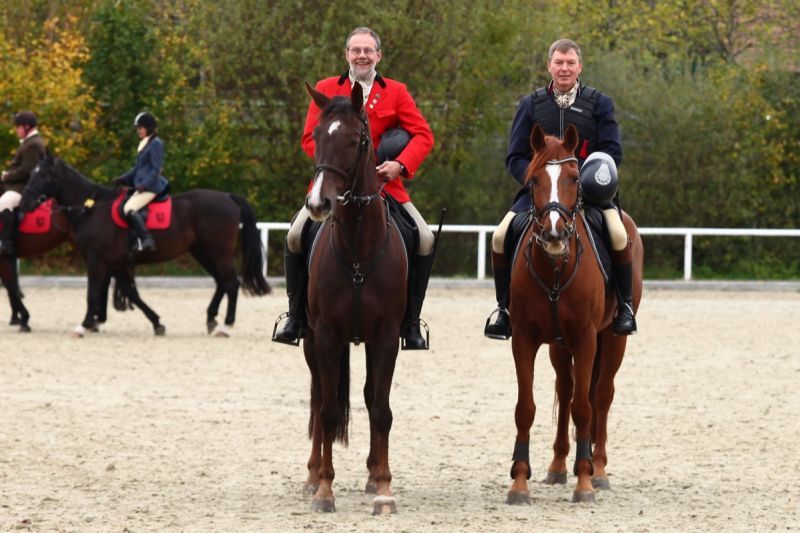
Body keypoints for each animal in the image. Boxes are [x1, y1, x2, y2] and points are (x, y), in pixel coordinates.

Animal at [19, 155, 270, 337]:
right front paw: (157, 323)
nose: (24, 204)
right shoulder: (116, 262)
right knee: (221, 282)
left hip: (218, 252)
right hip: (202, 252)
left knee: (231, 282)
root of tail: (227, 197)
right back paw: (211, 319)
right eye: (31, 174)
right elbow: (132, 292)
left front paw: (84, 325)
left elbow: (93, 293)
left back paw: (225, 326)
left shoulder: (97, 260)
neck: (91, 208)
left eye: (45, 175)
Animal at [506, 124, 643, 504]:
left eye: (573, 178)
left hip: (611, 339)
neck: (555, 266)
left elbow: (585, 407)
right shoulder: (524, 338)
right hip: (558, 344)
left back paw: (599, 469)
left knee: (602, 394)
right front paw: (519, 482)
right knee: (566, 389)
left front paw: (585, 482)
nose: (554, 233)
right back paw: (557, 466)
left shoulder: (585, 339)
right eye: (535, 179)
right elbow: (526, 408)